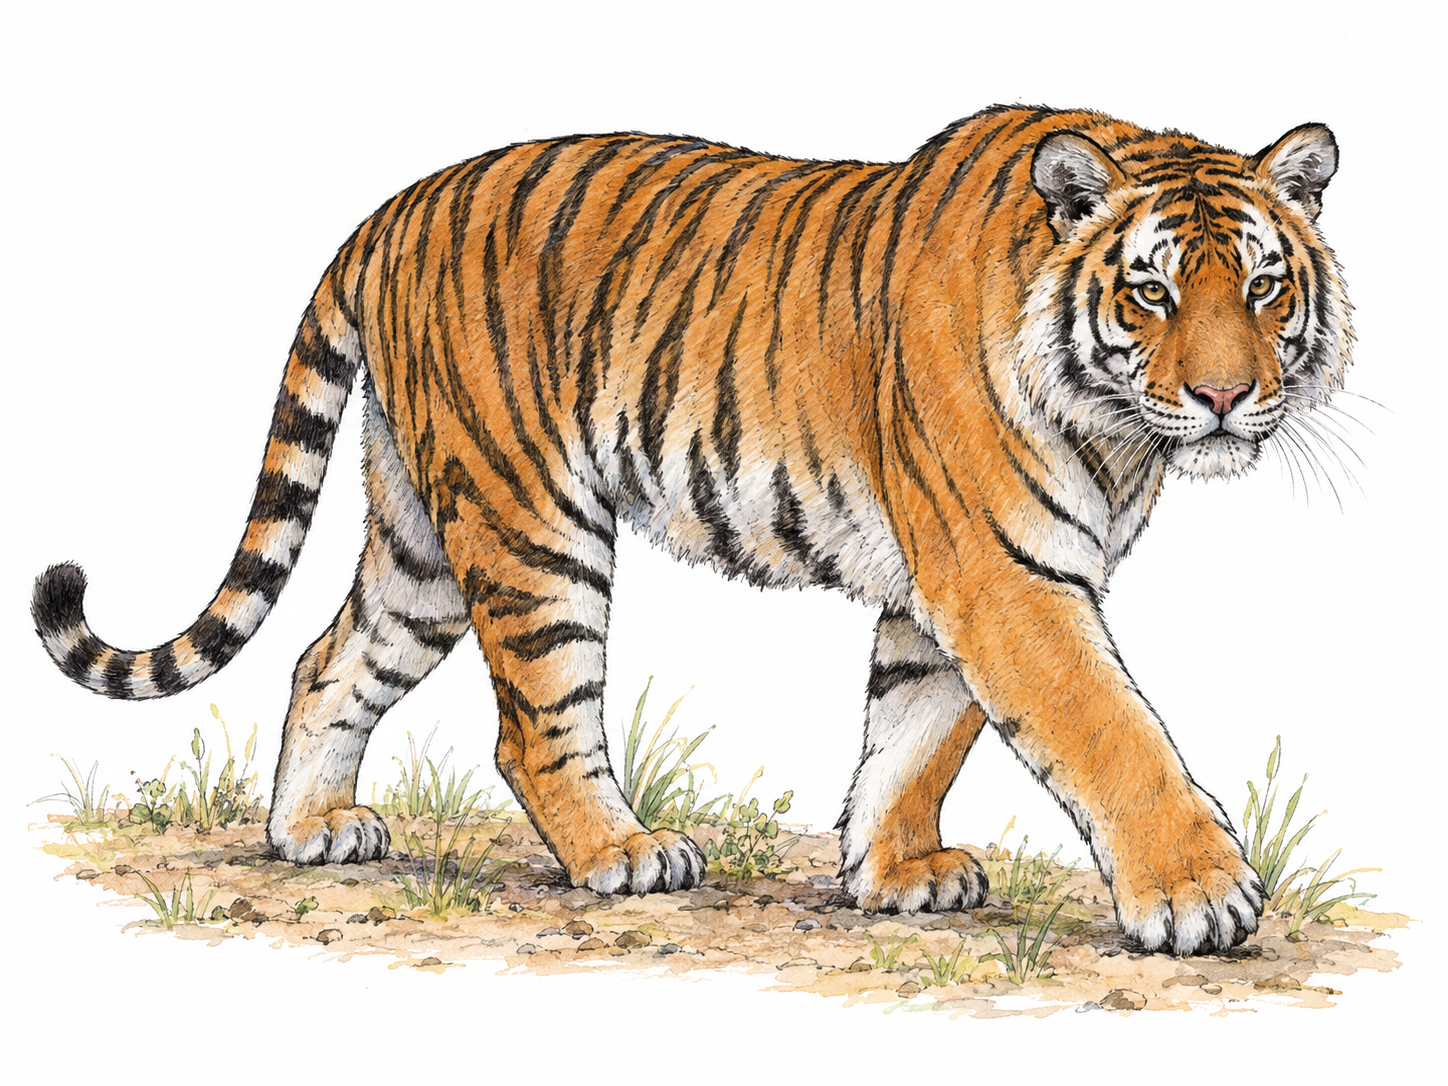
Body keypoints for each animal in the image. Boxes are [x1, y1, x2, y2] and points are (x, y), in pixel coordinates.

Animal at [32, 105, 1351, 956]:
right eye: (1151, 292)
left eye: (1263, 287)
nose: (1226, 396)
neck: (1116, 429)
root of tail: (395, 209)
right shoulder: (1004, 574)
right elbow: (1108, 731)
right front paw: (1197, 895)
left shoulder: (954, 583)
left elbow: (913, 731)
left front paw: (892, 873)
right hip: (528, 521)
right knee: (533, 723)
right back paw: (621, 855)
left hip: (419, 533)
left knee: (328, 656)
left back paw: (311, 831)